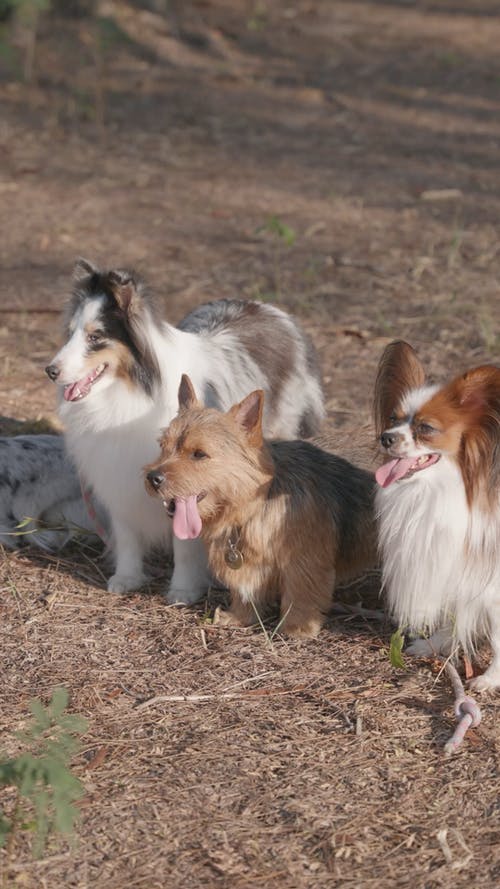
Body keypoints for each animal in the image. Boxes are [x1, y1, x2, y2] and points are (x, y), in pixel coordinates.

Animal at [47, 256, 324, 604]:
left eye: (95, 337)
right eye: (70, 333)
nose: (50, 371)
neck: (131, 392)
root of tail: (274, 311)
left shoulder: (190, 480)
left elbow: (184, 541)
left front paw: (183, 589)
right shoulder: (117, 478)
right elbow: (127, 535)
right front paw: (126, 577)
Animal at [145, 374, 376, 640]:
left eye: (199, 454)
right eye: (163, 445)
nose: (152, 477)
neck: (257, 502)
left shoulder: (305, 560)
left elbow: (301, 591)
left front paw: (296, 627)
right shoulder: (248, 562)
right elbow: (246, 590)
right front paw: (238, 617)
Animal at [376, 340, 500, 692]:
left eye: (426, 428)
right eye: (392, 418)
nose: (385, 437)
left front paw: (491, 678)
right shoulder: (458, 559)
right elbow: (458, 611)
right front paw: (438, 643)